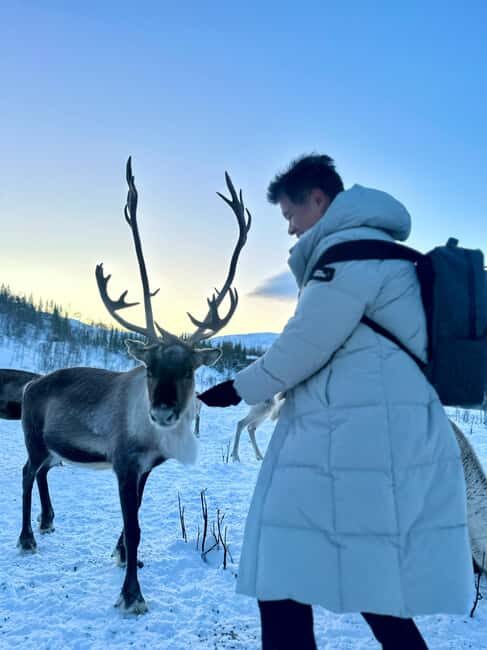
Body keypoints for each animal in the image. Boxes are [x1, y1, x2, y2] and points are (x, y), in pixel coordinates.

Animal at [16, 157, 251, 614]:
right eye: (148, 367)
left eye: (189, 370)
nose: (163, 410)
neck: (151, 437)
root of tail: (29, 384)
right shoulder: (124, 462)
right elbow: (134, 523)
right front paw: (132, 594)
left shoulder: (145, 469)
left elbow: (136, 518)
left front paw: (125, 555)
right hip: (33, 436)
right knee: (25, 473)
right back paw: (27, 537)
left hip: (53, 447)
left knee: (43, 472)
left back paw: (48, 521)